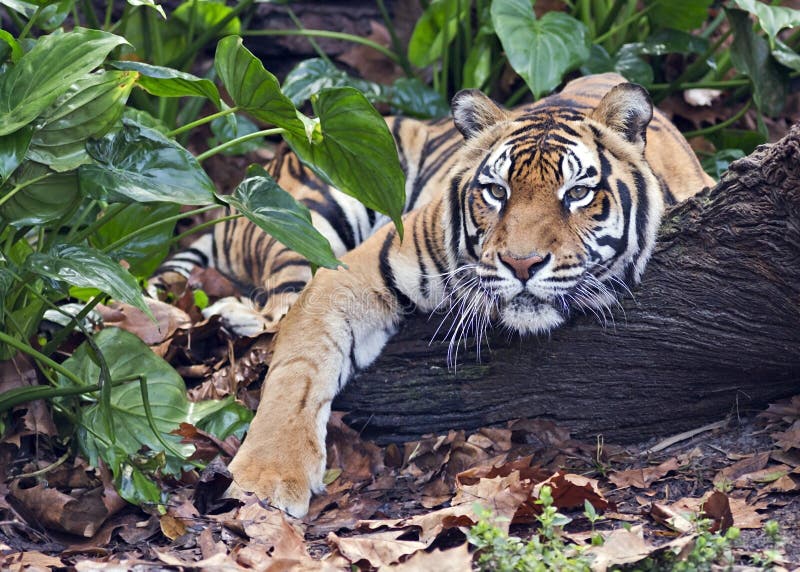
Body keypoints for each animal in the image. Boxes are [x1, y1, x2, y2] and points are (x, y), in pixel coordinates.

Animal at [150, 73, 712, 516]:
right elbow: (298, 368)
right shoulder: (348, 273)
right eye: (496, 191)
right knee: (277, 302)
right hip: (304, 206)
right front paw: (265, 477)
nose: (522, 264)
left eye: (577, 193)